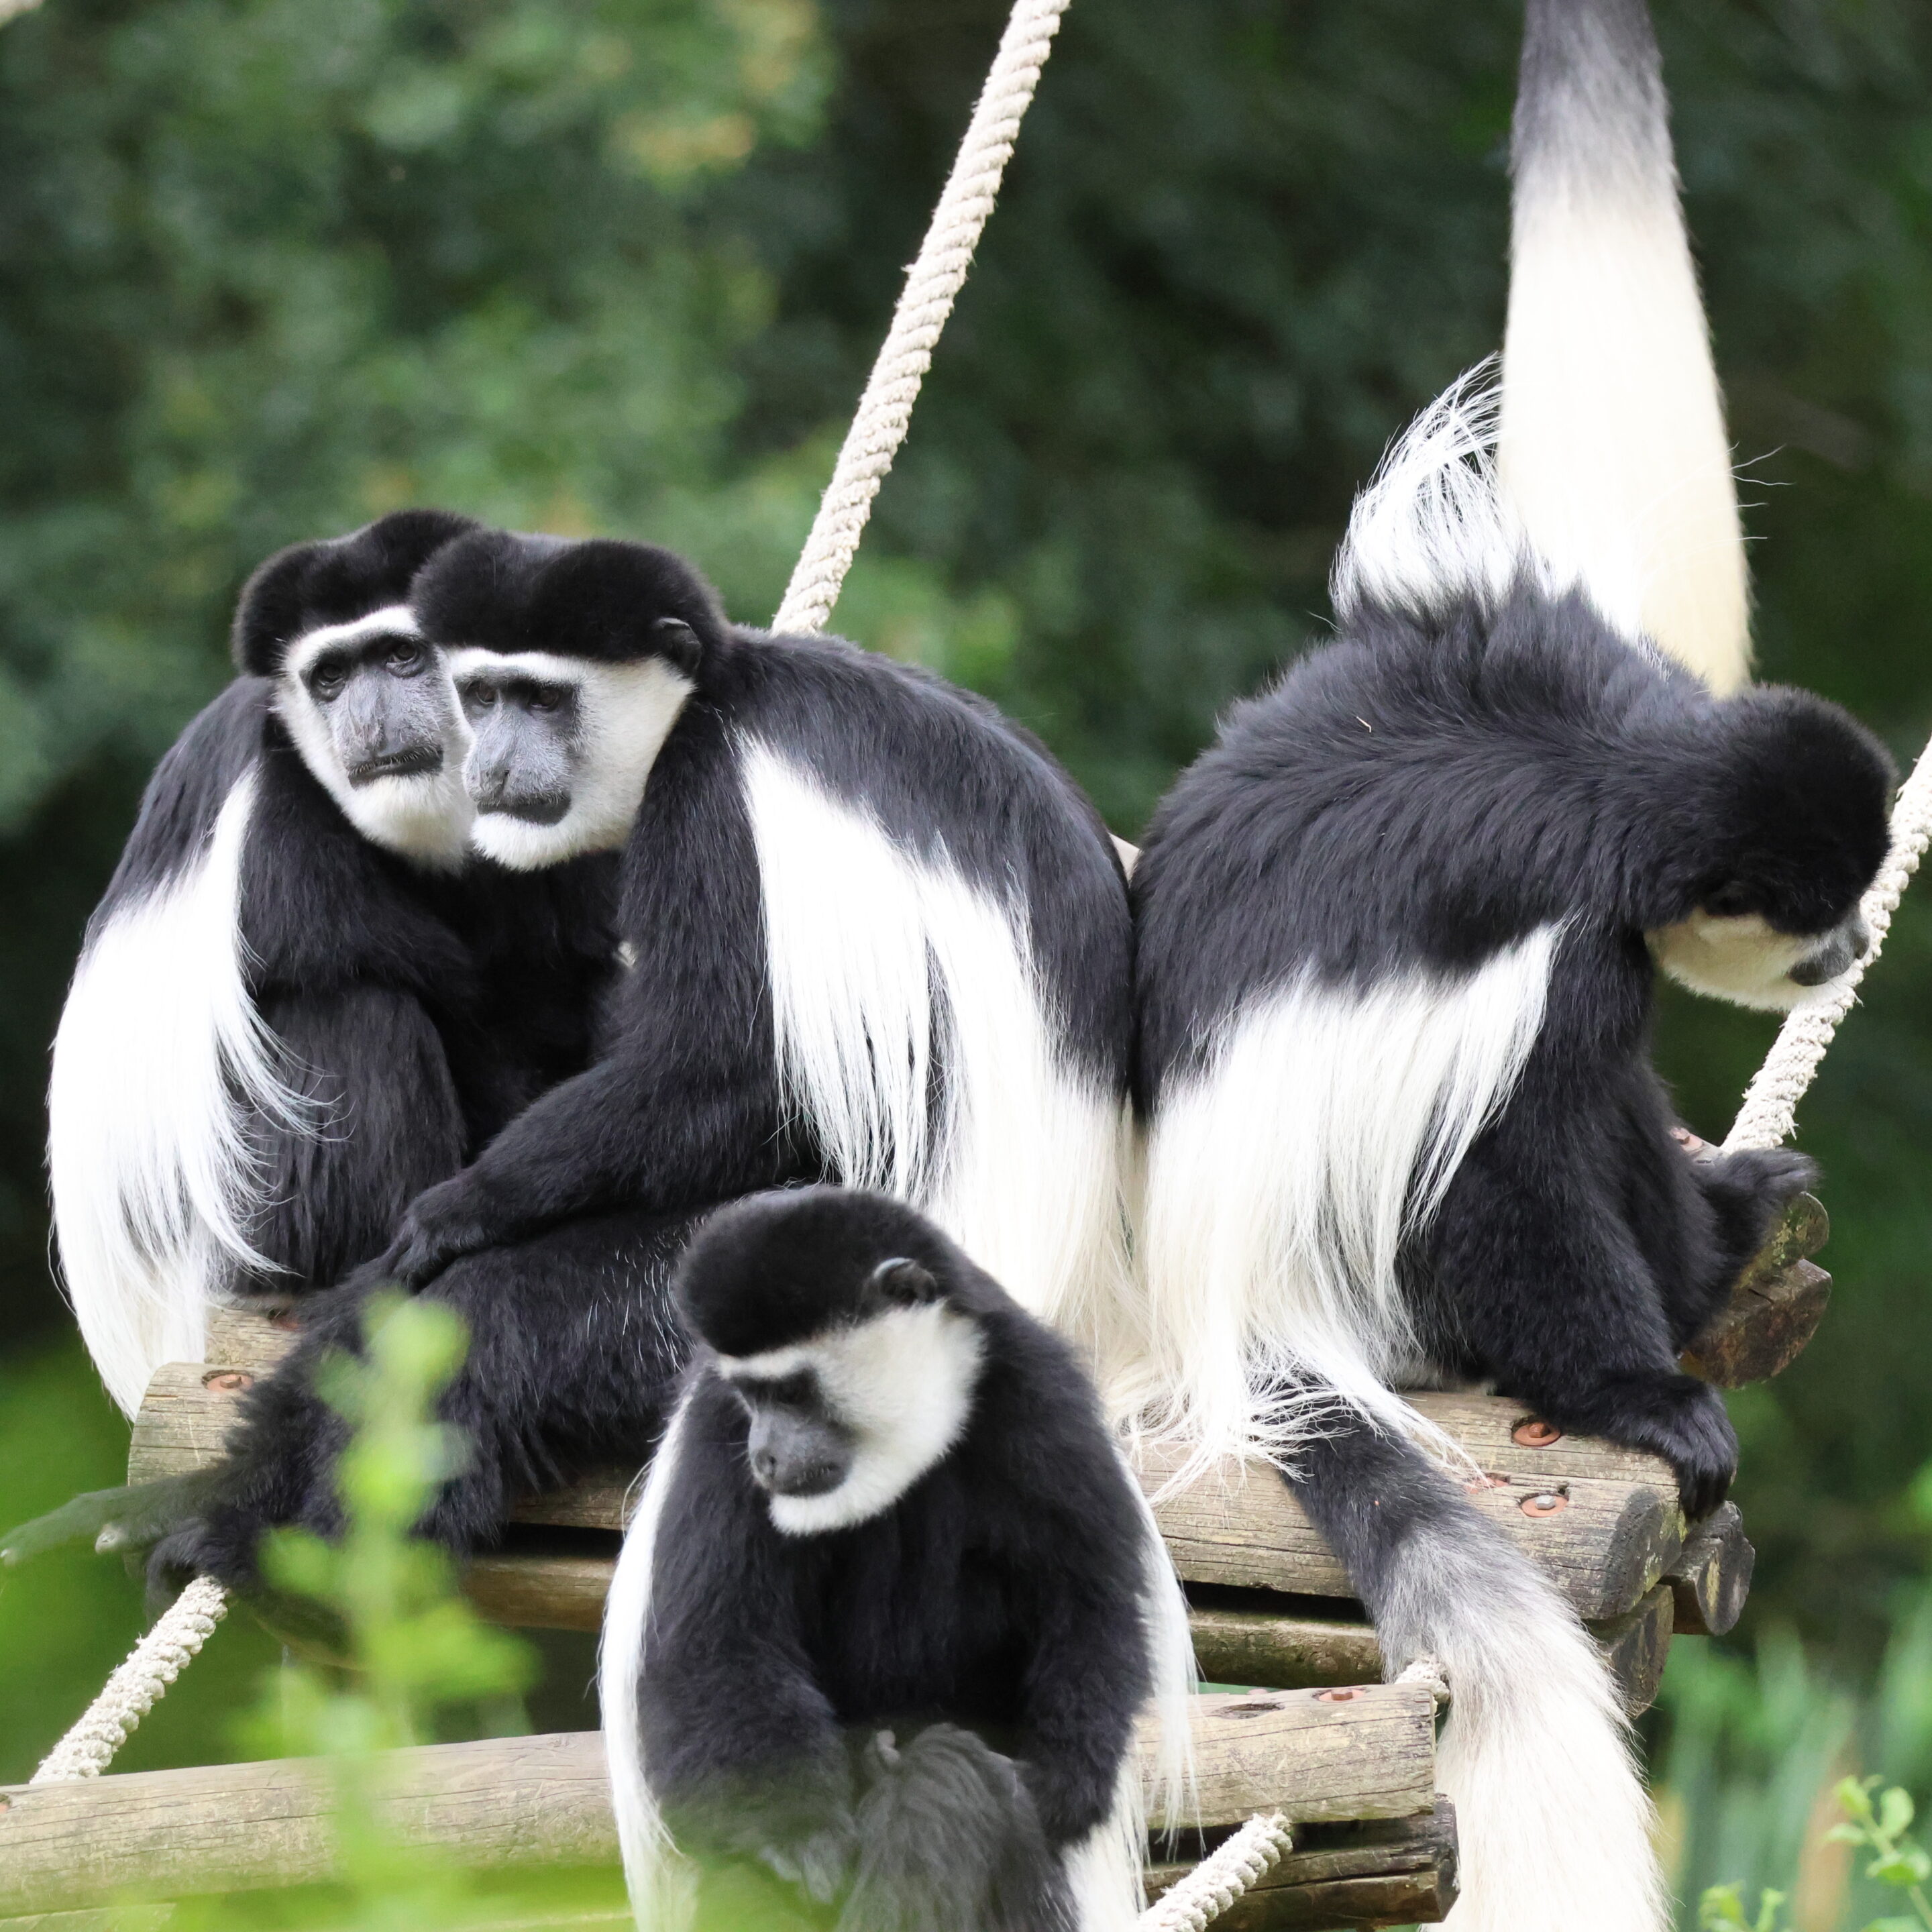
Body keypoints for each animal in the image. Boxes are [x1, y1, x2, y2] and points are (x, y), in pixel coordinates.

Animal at [599, 1187, 1195, 1932]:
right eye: (750, 1396)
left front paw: (1051, 1789)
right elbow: (717, 1647)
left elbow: (1088, 1604)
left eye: (791, 1391)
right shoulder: (715, 1433)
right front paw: (803, 1846)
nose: (765, 1457)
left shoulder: (1037, 1394)